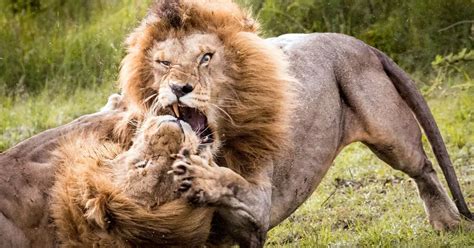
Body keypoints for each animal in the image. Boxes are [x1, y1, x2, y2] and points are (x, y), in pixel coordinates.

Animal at [0, 0, 470, 247]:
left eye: (206, 58)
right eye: (163, 63)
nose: (179, 88)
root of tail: (361, 44)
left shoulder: (256, 209)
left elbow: (234, 184)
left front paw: (203, 176)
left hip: (390, 133)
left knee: (424, 169)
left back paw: (447, 222)